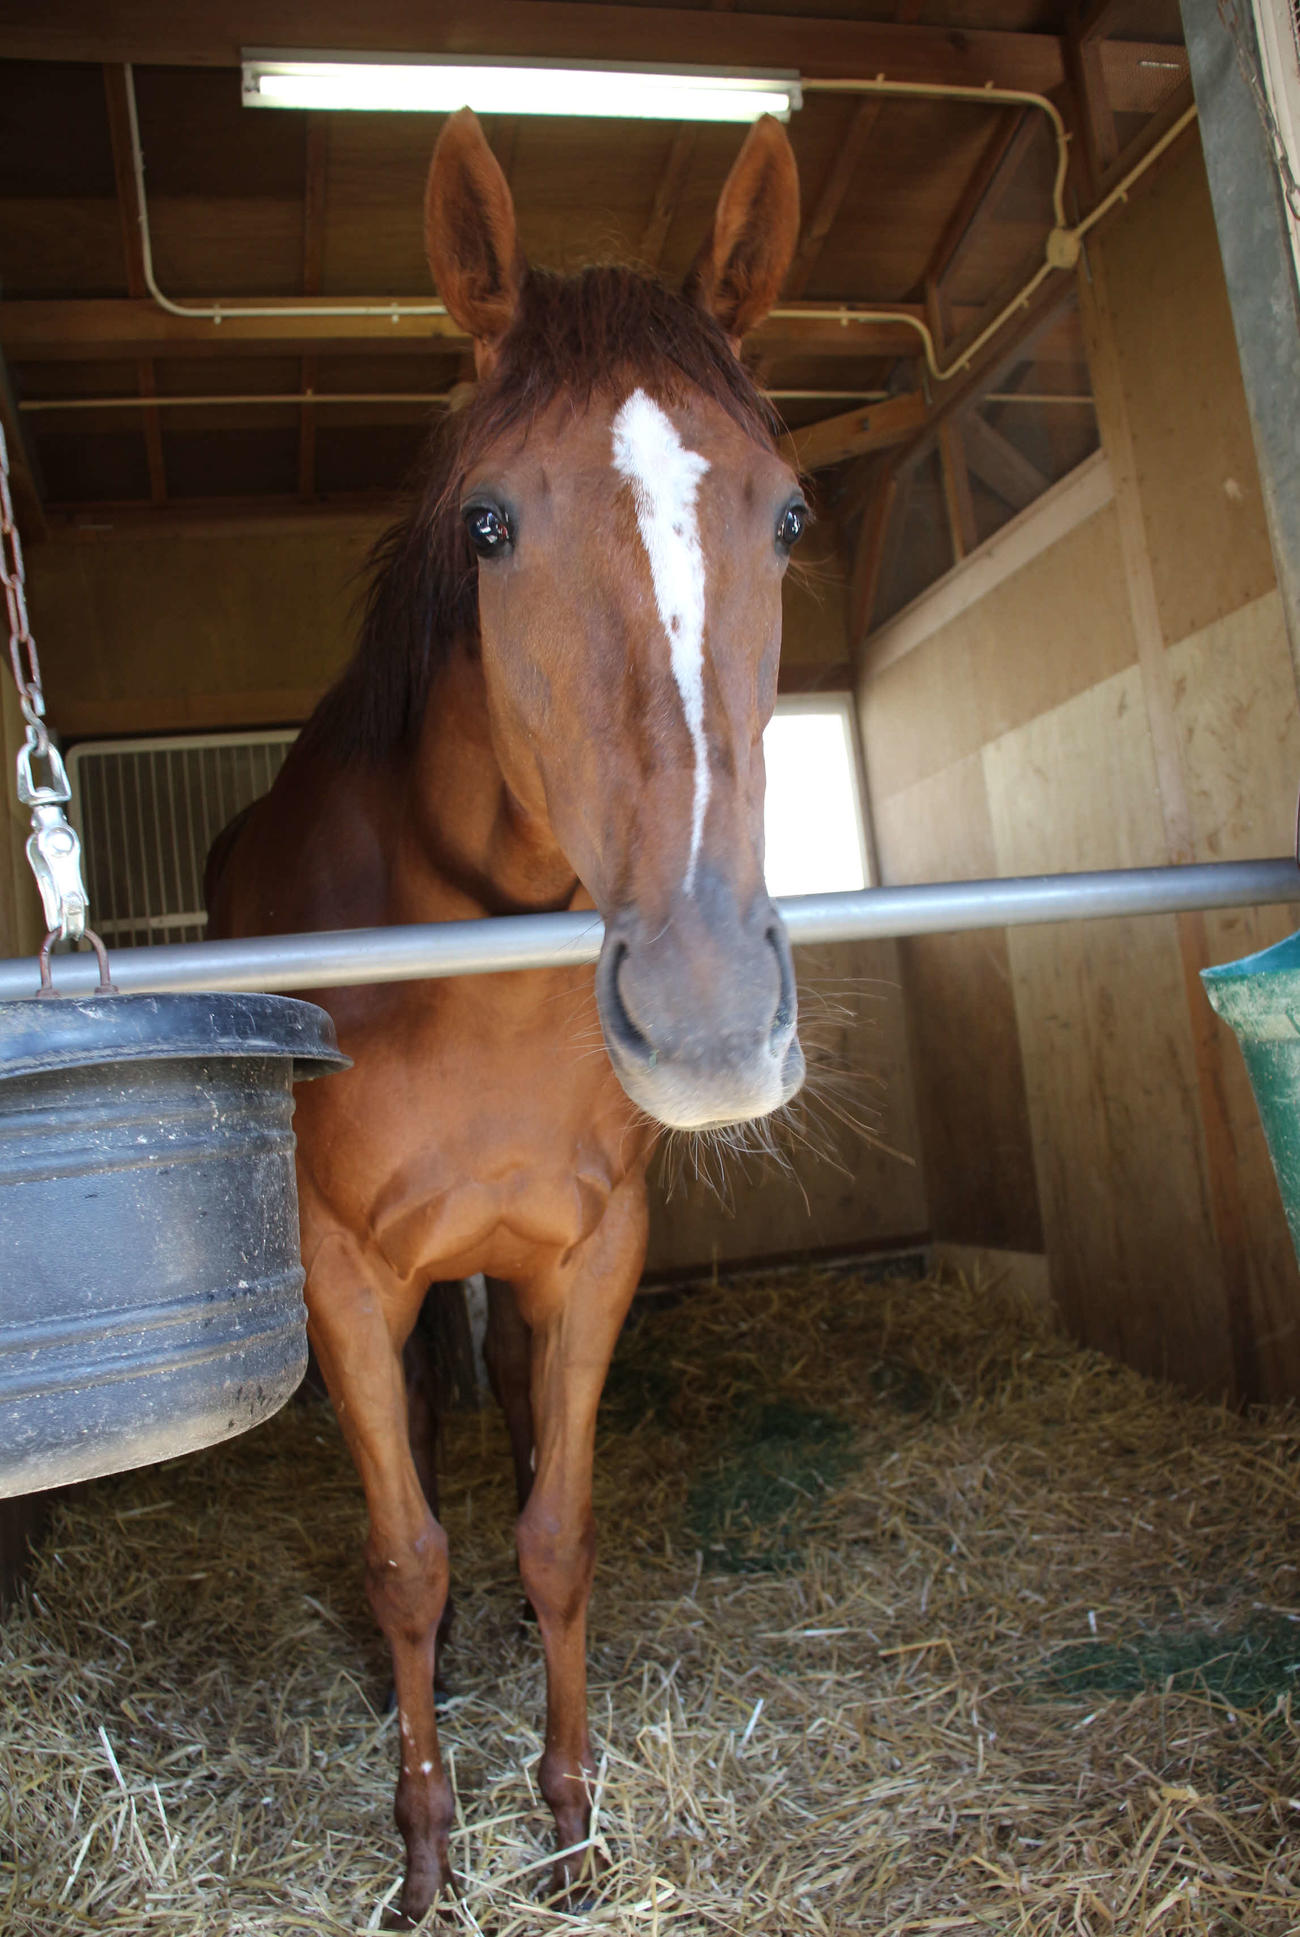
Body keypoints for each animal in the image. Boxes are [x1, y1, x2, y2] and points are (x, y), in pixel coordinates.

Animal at [206, 106, 806, 1925]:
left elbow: (557, 1533)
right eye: (487, 524)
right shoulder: (343, 1277)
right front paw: (424, 1853)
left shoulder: (589, 1257)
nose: (708, 1016)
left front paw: (569, 1828)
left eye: (789, 518)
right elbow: (407, 1560)